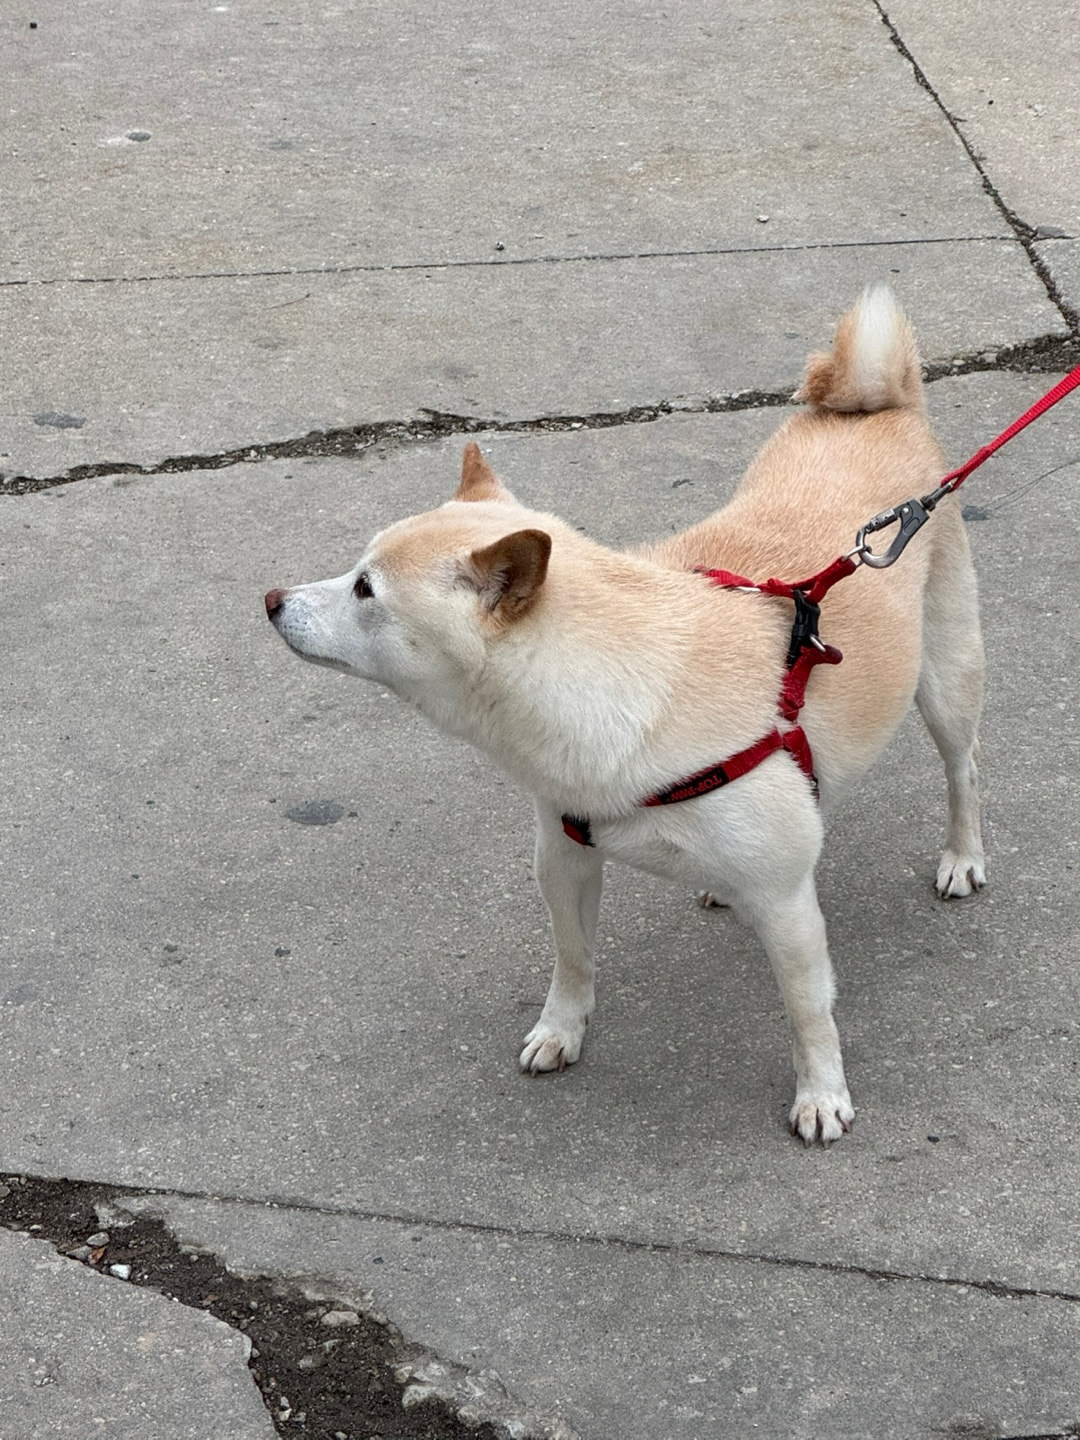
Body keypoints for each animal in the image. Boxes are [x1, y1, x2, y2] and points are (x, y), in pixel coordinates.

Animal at [265, 286, 985, 1145]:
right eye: (355, 570)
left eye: (365, 590)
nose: (270, 600)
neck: (605, 679)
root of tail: (879, 405)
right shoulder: (563, 857)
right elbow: (572, 959)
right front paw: (562, 1030)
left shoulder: (786, 906)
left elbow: (809, 1011)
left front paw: (821, 1091)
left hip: (945, 684)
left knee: (963, 772)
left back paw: (963, 856)